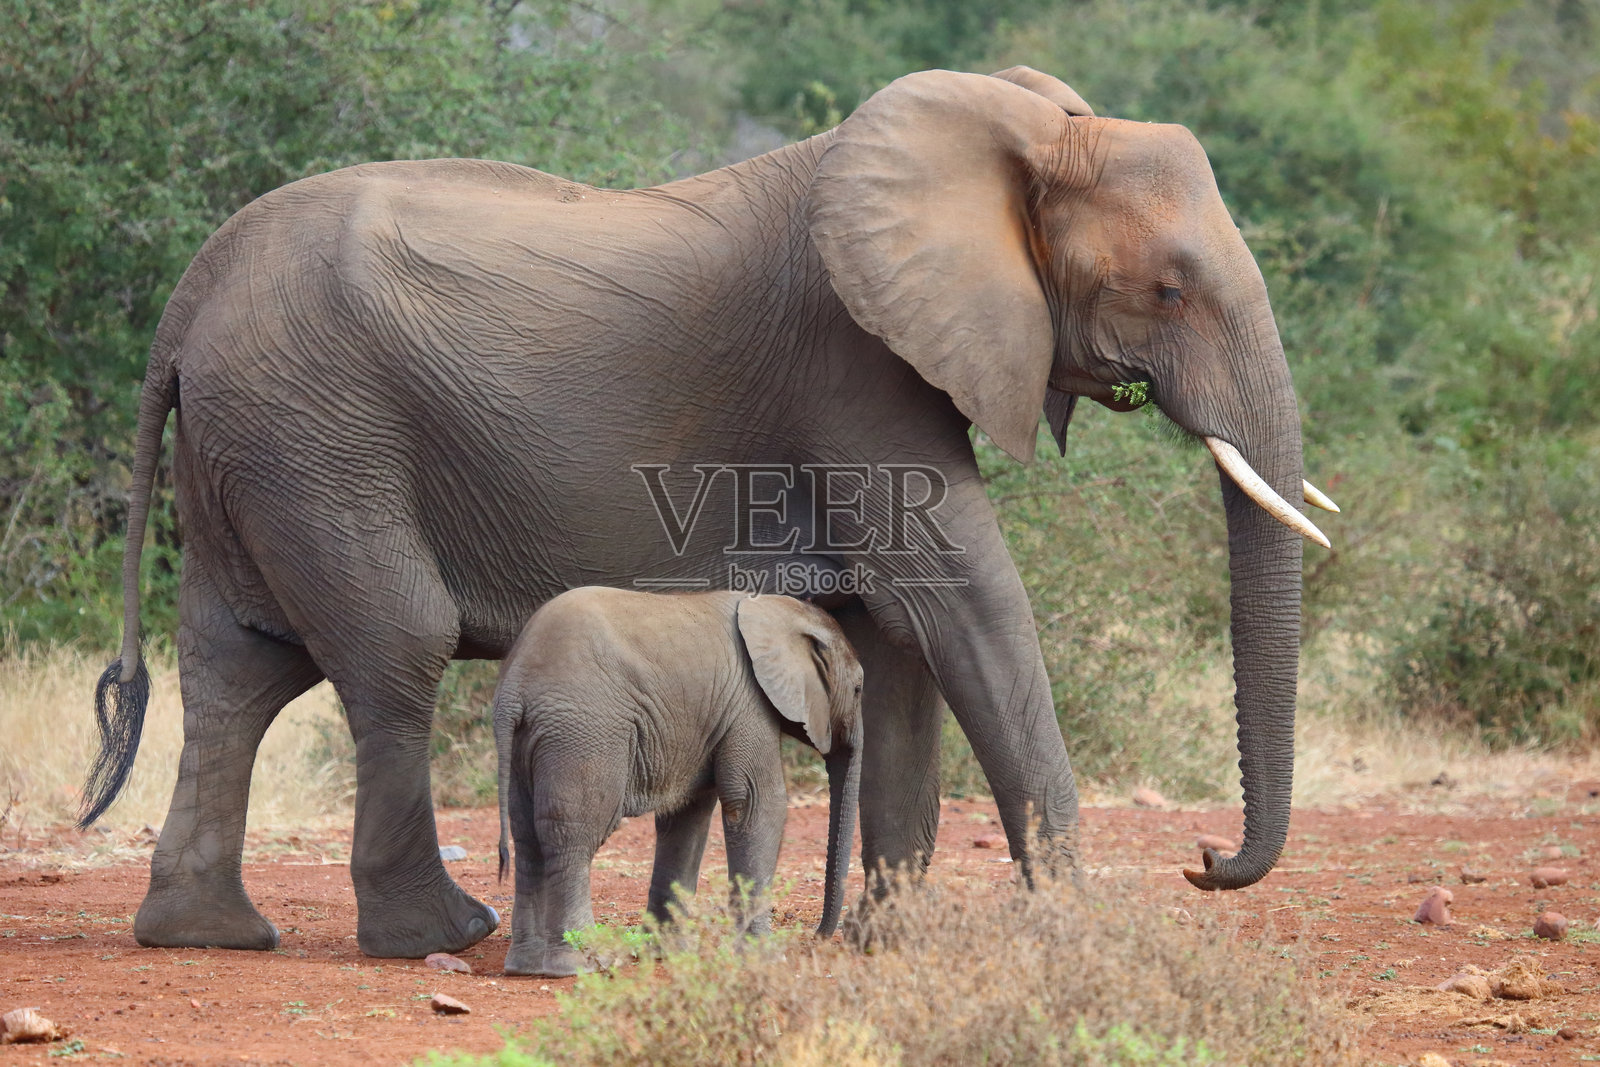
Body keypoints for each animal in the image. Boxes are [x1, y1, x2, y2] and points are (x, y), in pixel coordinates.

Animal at [493, 587, 863, 977]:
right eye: (858, 689)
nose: (818, 938)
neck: (779, 609)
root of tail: (514, 691)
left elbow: (687, 817)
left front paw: (667, 954)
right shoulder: (748, 705)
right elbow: (756, 804)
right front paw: (763, 956)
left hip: (529, 744)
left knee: (528, 838)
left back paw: (524, 966)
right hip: (583, 732)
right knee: (572, 837)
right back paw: (580, 964)